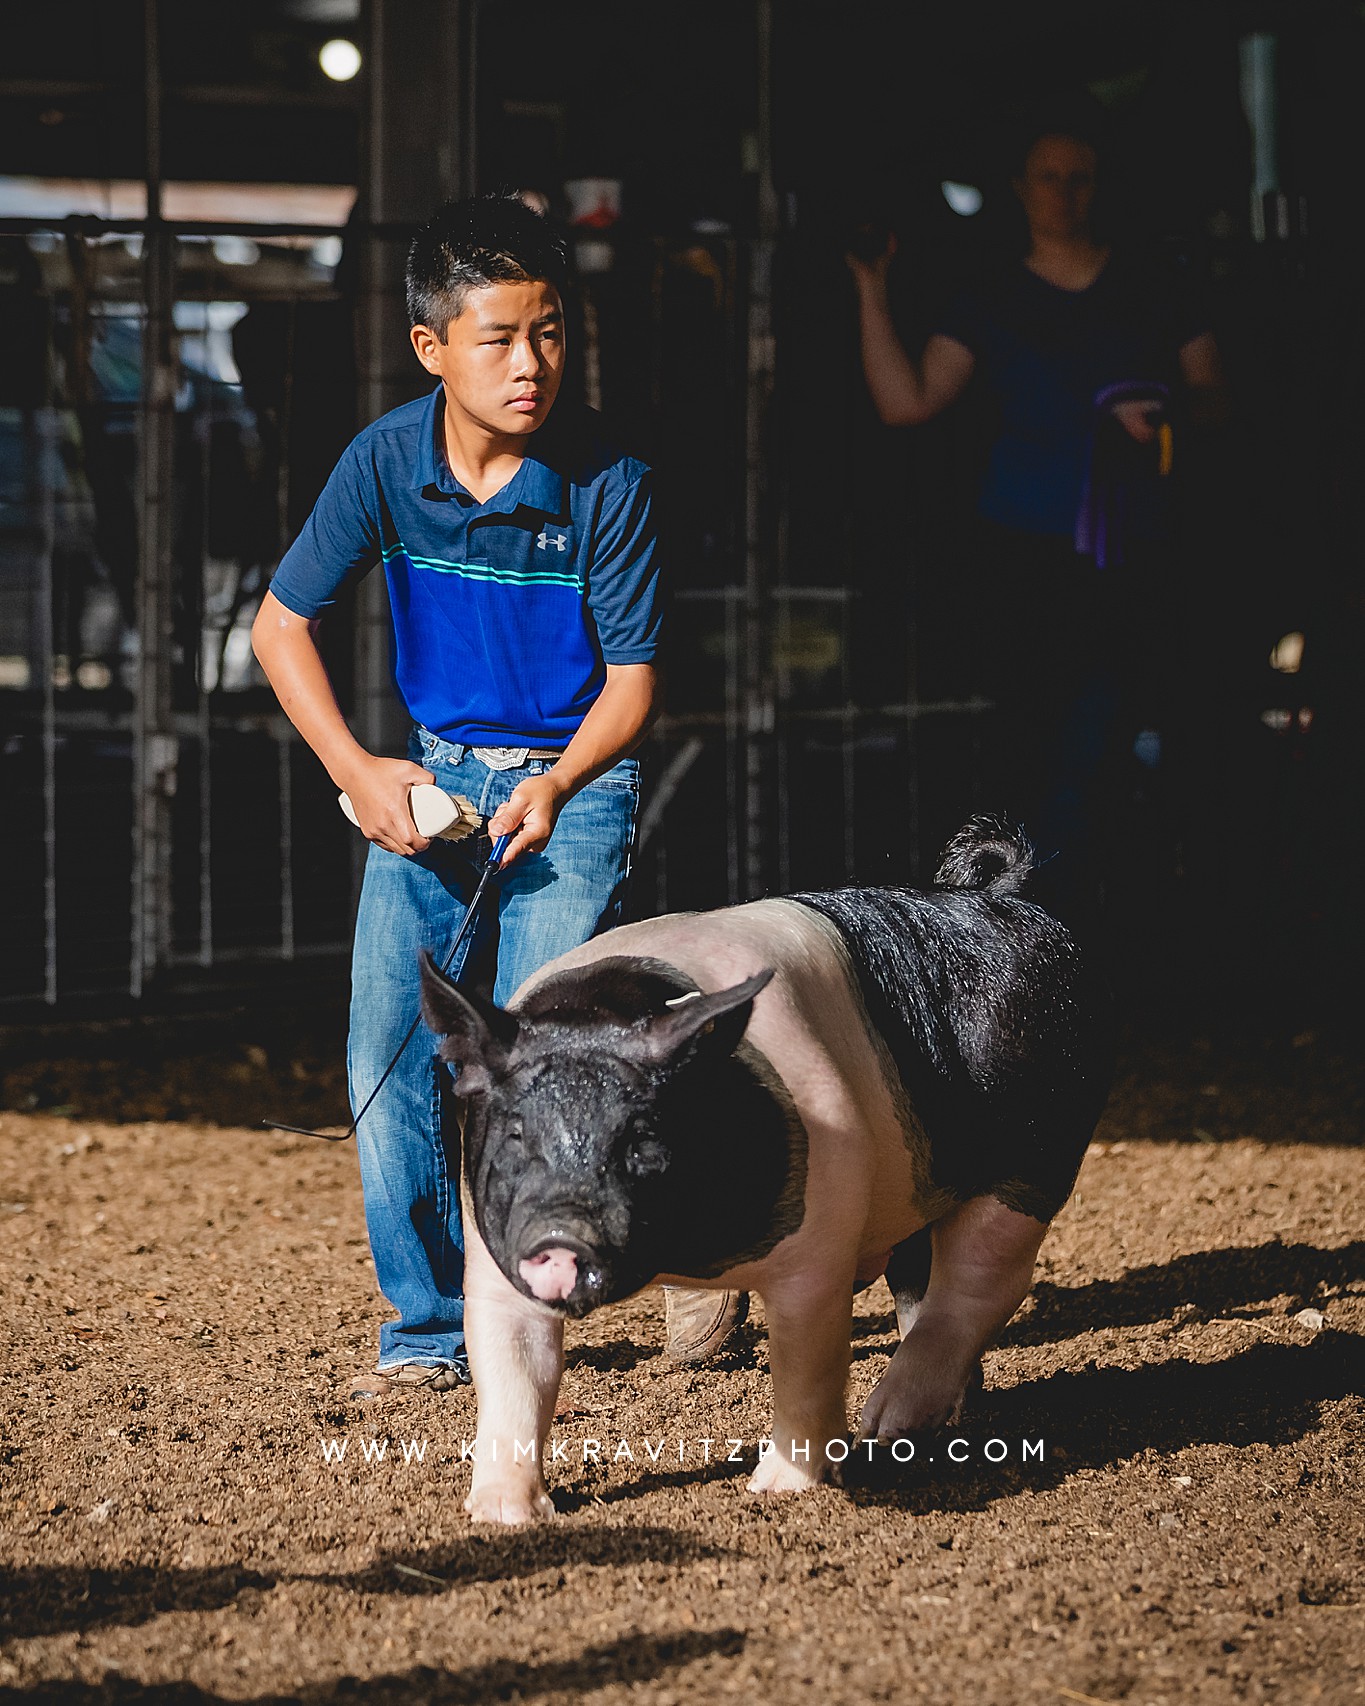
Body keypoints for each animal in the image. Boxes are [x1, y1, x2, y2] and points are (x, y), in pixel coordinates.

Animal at [421, 812, 1112, 1521]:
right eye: (515, 1134)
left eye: (643, 1137)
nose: (563, 1236)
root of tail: (1003, 898)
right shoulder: (492, 1249)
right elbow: (512, 1367)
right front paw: (501, 1515)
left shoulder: (820, 1243)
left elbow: (808, 1363)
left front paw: (781, 1488)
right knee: (922, 1283)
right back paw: (934, 1420)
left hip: (1038, 1156)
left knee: (982, 1283)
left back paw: (883, 1426)